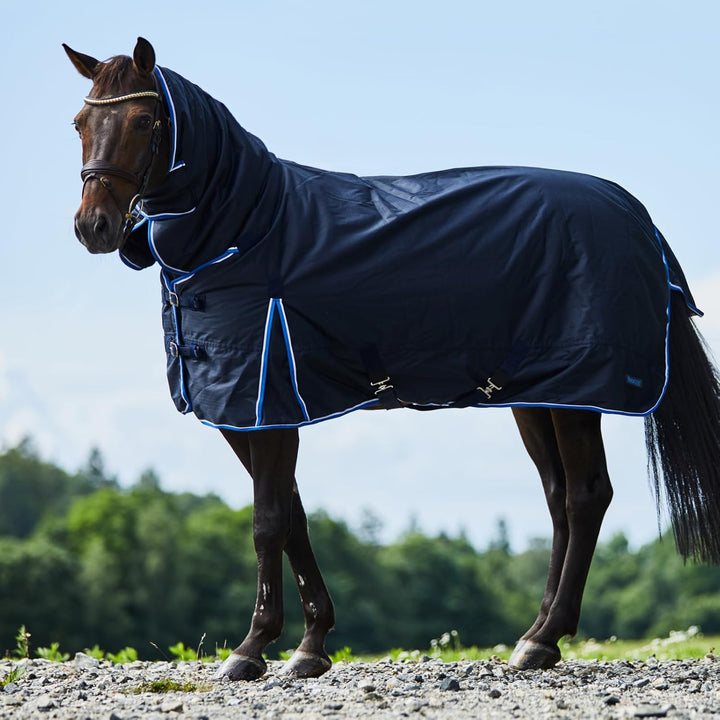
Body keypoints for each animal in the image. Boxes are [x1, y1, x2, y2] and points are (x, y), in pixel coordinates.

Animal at [64, 37, 720, 681]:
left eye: (143, 119)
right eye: (79, 122)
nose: (94, 227)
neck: (246, 229)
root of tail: (635, 217)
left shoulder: (264, 400)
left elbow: (267, 520)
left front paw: (252, 648)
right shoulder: (245, 413)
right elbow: (293, 515)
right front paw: (311, 645)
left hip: (577, 396)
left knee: (585, 497)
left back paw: (544, 640)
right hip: (537, 394)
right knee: (559, 499)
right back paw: (534, 635)